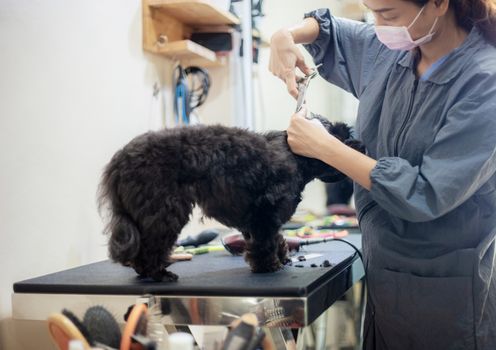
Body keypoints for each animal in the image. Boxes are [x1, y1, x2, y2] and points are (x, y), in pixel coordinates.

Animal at [99, 115, 362, 282]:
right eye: (343, 138)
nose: (360, 145)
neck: (295, 155)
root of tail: (118, 163)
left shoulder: (259, 217)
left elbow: (274, 238)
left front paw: (280, 257)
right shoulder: (264, 213)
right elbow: (265, 242)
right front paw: (268, 266)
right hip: (163, 212)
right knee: (151, 247)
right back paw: (158, 274)